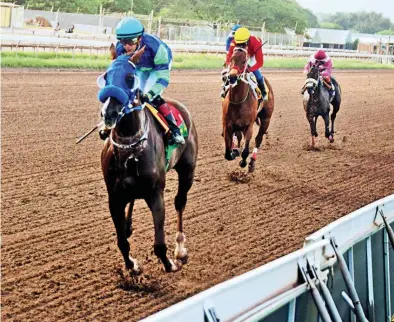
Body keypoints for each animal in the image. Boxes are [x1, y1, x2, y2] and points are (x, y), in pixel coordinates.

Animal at [98, 45, 197, 274]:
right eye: (106, 76)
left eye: (130, 77)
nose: (109, 113)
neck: (130, 150)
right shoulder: (114, 198)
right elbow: (122, 242)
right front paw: (132, 265)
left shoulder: (155, 193)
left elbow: (159, 244)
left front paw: (170, 264)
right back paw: (128, 225)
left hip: (188, 170)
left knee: (180, 202)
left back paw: (180, 247)